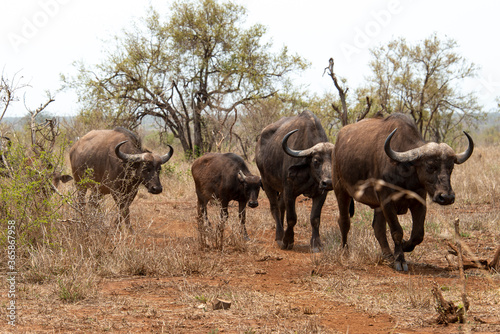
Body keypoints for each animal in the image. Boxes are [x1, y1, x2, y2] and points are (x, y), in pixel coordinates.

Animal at [256, 111, 334, 252]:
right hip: (267, 183)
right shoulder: (289, 190)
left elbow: (315, 218)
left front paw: (316, 244)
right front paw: (287, 240)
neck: (309, 174)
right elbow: (292, 218)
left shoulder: (321, 193)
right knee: (274, 208)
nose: (328, 182)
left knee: (280, 206)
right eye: (316, 161)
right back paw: (279, 236)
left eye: (334, 160)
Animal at [332, 112, 472, 272]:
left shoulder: (419, 202)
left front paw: (404, 246)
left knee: (378, 228)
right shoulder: (387, 202)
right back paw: (345, 250)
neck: (405, 171)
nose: (447, 197)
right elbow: (397, 231)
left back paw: (387, 255)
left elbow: (418, 234)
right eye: (430, 166)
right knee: (344, 221)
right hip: (341, 191)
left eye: (451, 168)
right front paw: (400, 259)